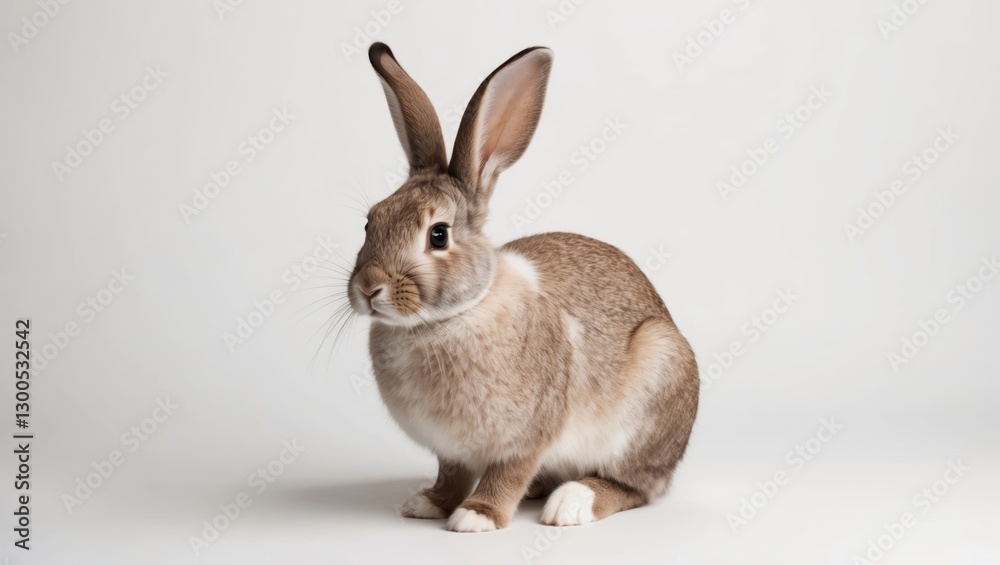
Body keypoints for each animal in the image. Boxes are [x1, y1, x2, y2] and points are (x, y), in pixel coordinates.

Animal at [347, 42, 699, 532]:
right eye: (369, 222)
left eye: (438, 235)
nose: (368, 288)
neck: (445, 319)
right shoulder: (450, 450)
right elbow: (451, 475)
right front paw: (429, 503)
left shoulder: (527, 436)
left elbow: (508, 474)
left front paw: (475, 516)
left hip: (655, 384)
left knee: (635, 487)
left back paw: (572, 502)